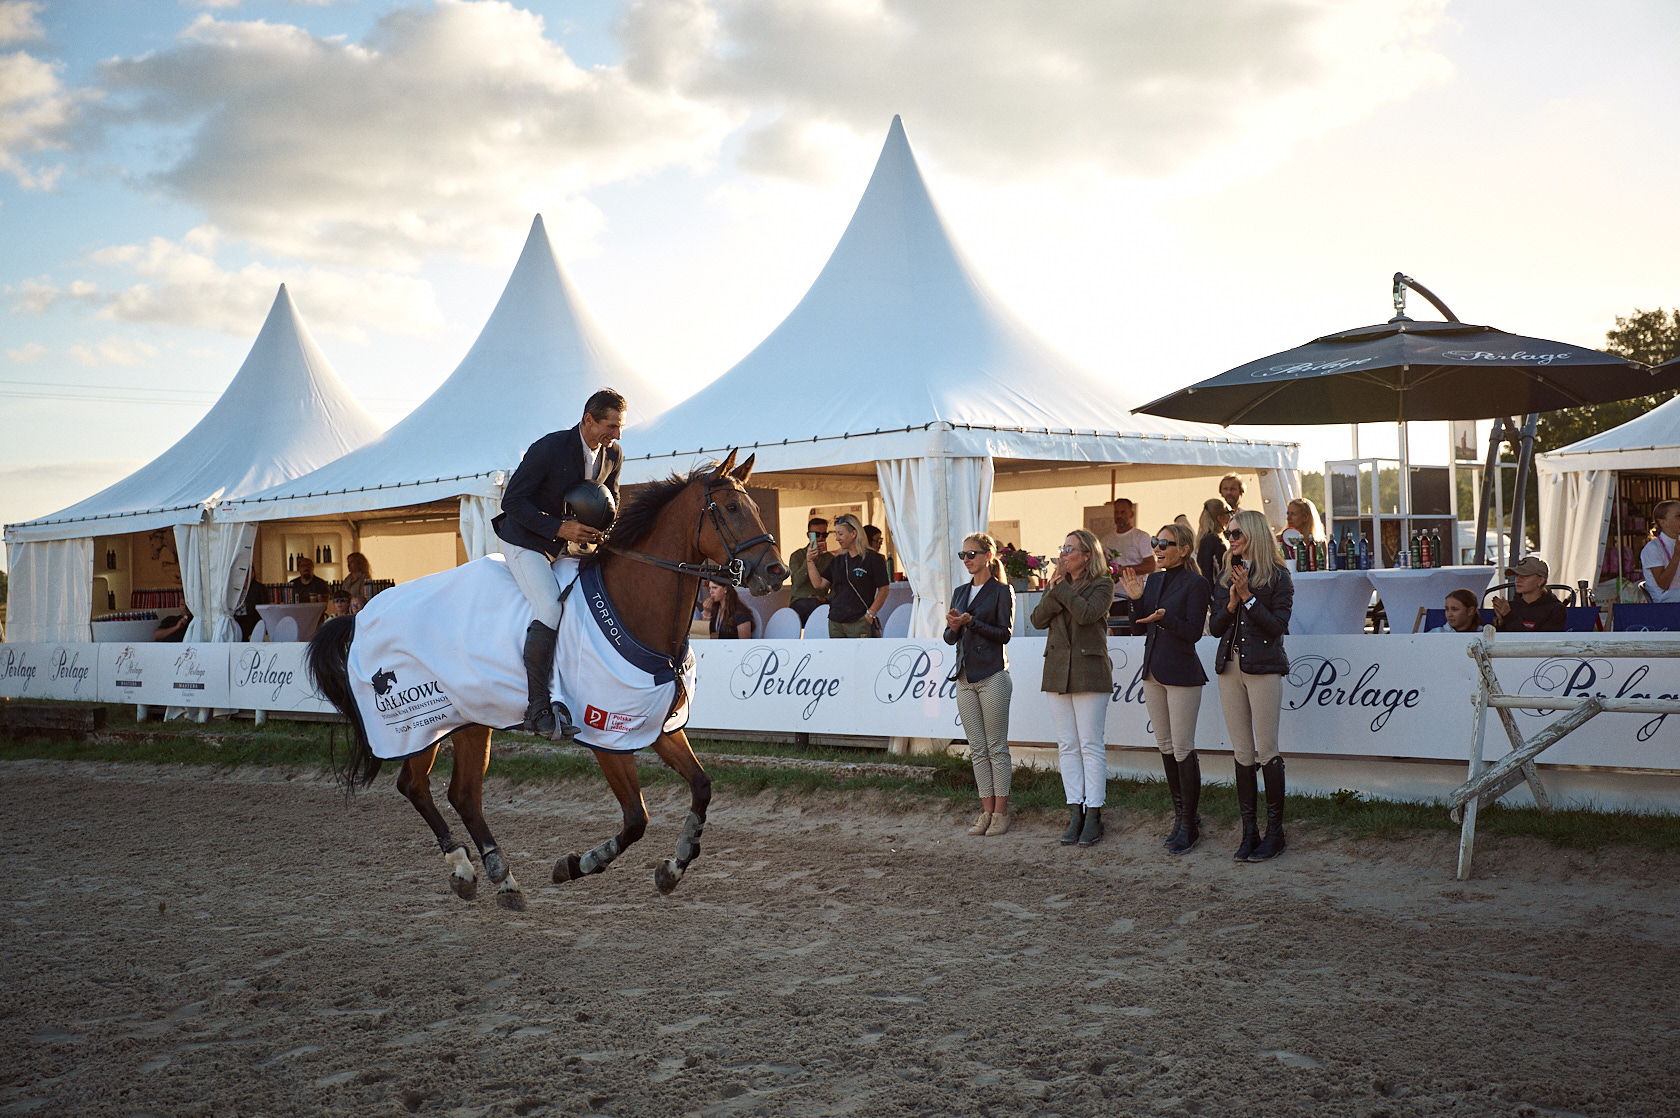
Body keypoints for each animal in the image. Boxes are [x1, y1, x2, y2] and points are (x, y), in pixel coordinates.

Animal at [304, 450, 786, 907]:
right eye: (731, 508)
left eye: (754, 507)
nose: (776, 572)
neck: (634, 608)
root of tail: (361, 615)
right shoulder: (606, 732)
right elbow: (636, 818)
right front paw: (576, 865)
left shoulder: (657, 725)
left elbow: (702, 788)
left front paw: (674, 866)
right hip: (418, 725)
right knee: (417, 786)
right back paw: (472, 869)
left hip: (467, 720)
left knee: (458, 794)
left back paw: (495, 876)